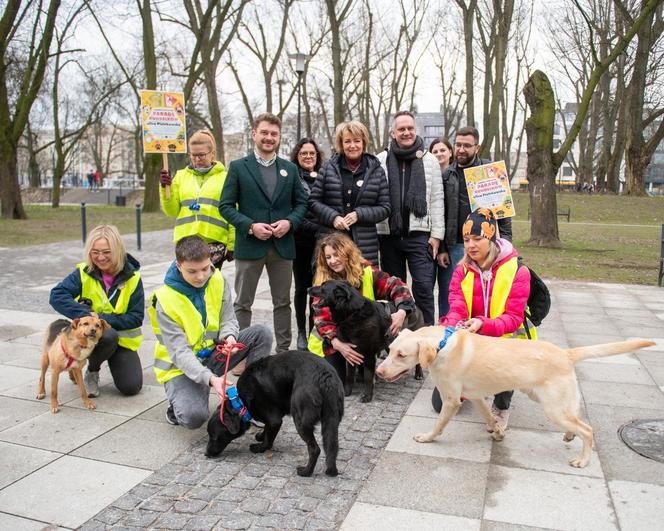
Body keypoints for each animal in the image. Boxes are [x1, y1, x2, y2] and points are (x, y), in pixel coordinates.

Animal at [206, 354, 342, 478]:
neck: (240, 402)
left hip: (300, 421)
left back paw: (306, 472)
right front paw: (261, 436)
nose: (206, 454)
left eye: (214, 437)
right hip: (331, 420)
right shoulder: (271, 419)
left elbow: (268, 440)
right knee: (332, 446)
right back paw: (332, 471)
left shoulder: (275, 420)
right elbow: (267, 429)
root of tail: (324, 376)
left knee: (314, 449)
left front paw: (260, 447)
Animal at [376, 328, 656, 470]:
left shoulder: (452, 400)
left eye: (401, 355)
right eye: (389, 350)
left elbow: (439, 425)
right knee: (577, 419)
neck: (442, 345)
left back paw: (583, 460)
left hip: (552, 408)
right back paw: (569, 435)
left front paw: (427, 438)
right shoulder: (476, 396)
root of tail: (565, 353)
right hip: (550, 401)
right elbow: (489, 417)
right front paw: (497, 431)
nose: (378, 371)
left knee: (587, 430)